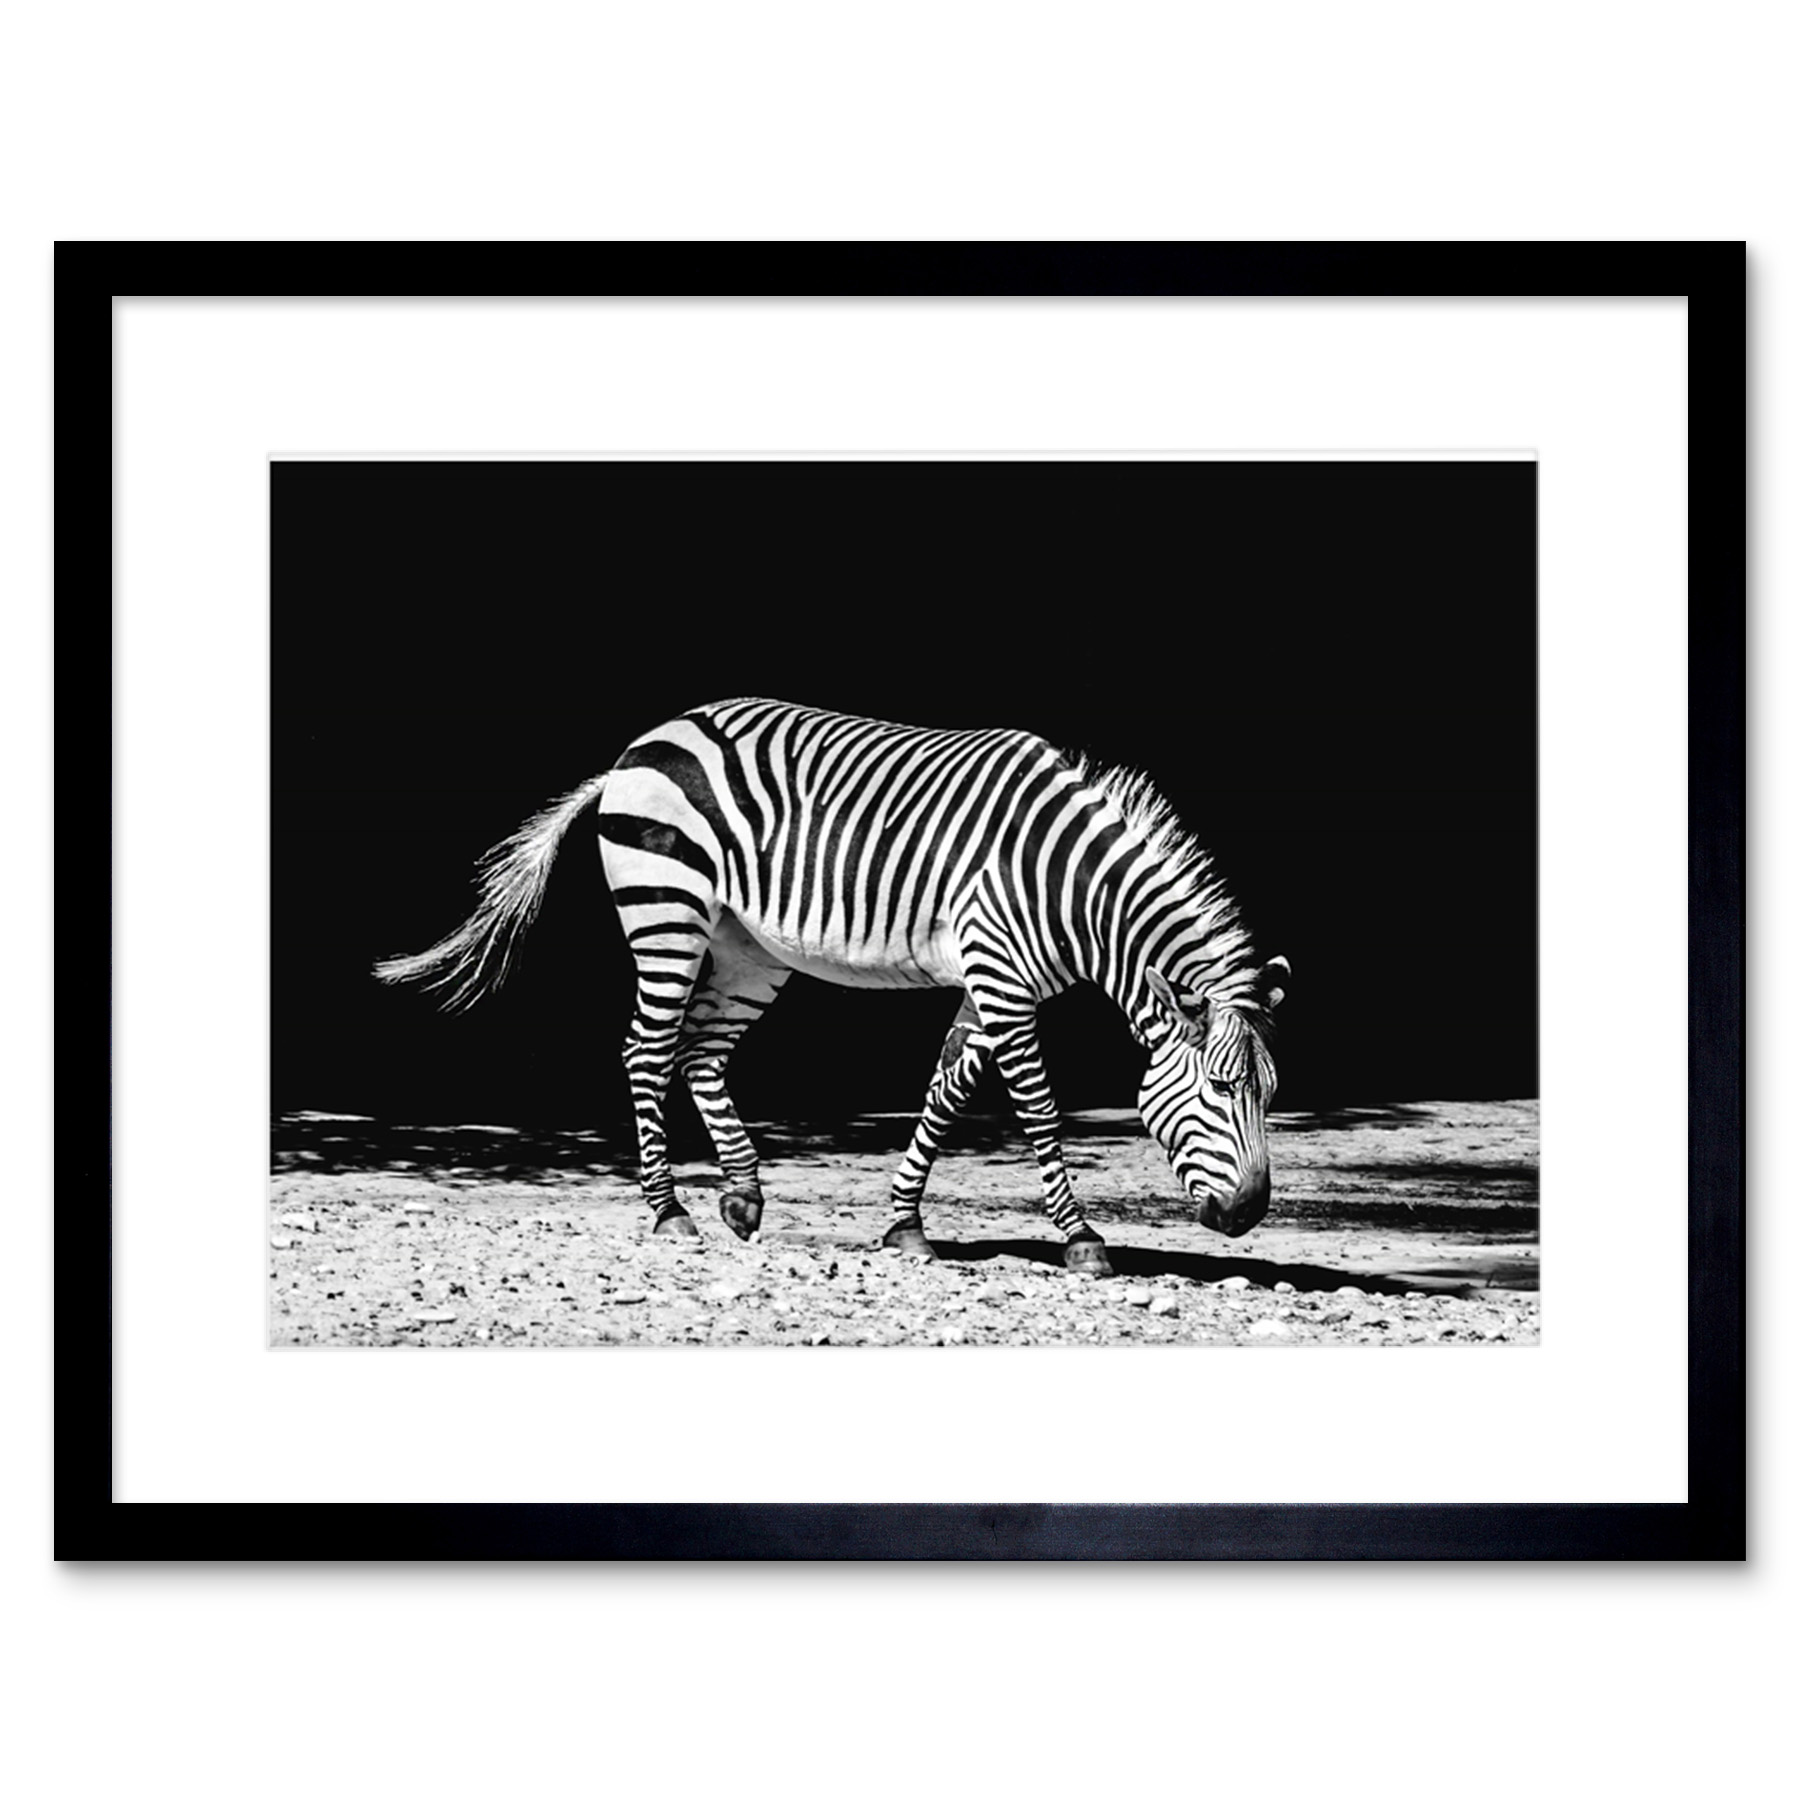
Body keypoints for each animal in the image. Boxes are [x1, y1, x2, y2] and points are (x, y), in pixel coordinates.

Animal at [375, 698, 1288, 1277]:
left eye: (1270, 1095)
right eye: (1218, 1090)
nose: (1249, 1216)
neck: (1070, 886)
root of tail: (642, 743)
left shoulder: (992, 980)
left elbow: (947, 1093)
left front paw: (904, 1223)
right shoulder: (1000, 975)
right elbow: (1035, 1106)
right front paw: (1080, 1238)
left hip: (748, 944)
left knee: (701, 1055)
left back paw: (742, 1198)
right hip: (667, 909)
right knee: (646, 1048)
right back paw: (668, 1210)